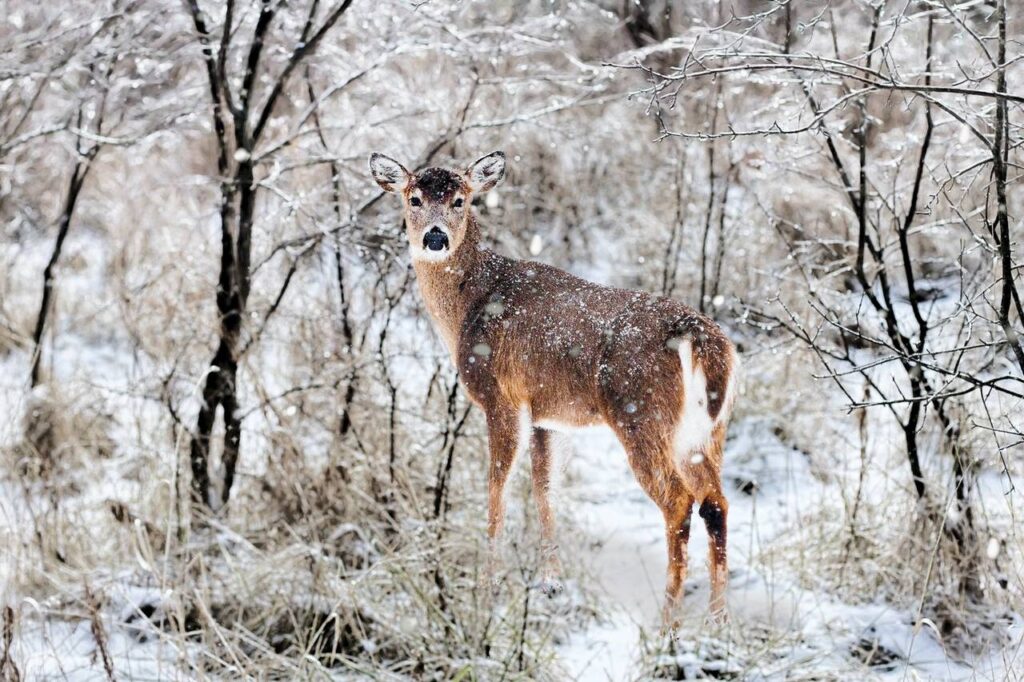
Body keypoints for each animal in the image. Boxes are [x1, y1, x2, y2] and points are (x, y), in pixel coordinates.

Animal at [368, 151, 737, 618]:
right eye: (414, 198)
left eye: (459, 200)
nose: (435, 238)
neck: (468, 306)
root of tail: (701, 338)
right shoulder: (547, 414)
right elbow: (545, 489)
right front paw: (551, 582)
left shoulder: (500, 396)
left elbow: (498, 490)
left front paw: (487, 589)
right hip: (707, 430)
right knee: (716, 502)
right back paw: (717, 621)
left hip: (642, 415)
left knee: (678, 503)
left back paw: (667, 620)